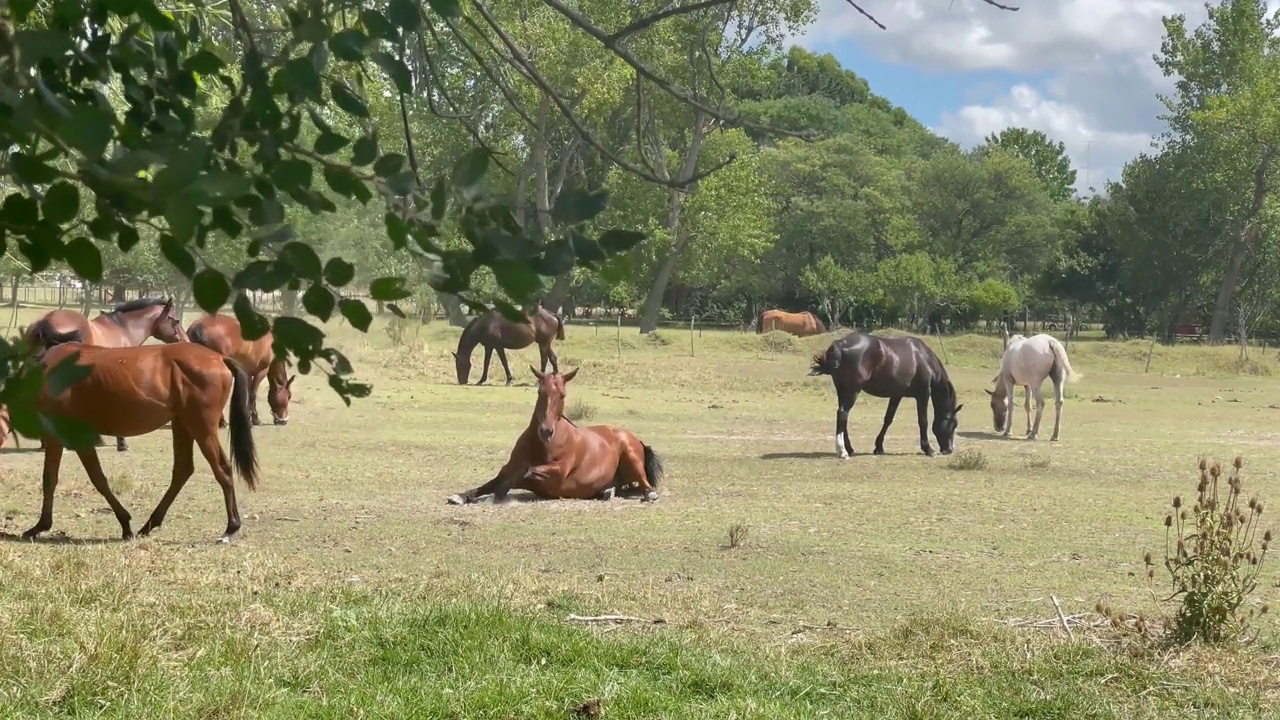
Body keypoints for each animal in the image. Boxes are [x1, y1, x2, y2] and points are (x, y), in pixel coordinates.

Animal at [21, 333, 259, 540]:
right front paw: (40, 526)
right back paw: (150, 525)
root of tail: (219, 358)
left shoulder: (70, 436)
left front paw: (125, 524)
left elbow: (94, 479)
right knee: (182, 470)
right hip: (182, 424)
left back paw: (231, 528)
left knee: (222, 469)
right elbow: (52, 478)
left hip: (201, 427)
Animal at [445, 363, 665, 504]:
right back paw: (607, 491)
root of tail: (636, 439)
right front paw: (461, 496)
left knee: (645, 484)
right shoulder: (508, 469)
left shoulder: (557, 473)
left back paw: (648, 495)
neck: (539, 445)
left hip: (631, 457)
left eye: (562, 395)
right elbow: (492, 482)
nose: (546, 431)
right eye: (539, 392)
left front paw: (497, 495)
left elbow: (524, 473)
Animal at [808, 330, 962, 456]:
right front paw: (928, 449)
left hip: (842, 390)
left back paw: (849, 449)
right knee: (843, 413)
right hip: (852, 390)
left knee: (842, 415)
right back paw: (842, 451)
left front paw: (879, 447)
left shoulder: (897, 395)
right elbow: (923, 421)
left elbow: (888, 419)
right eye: (953, 424)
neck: (923, 358)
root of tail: (842, 343)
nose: (949, 450)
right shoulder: (923, 394)